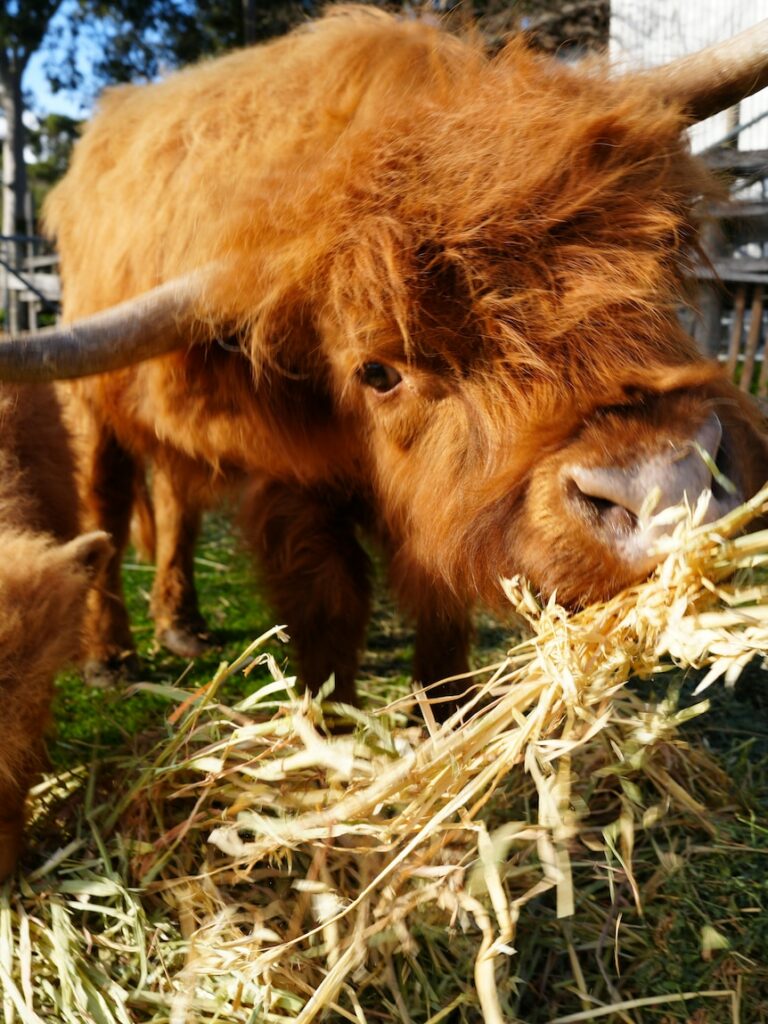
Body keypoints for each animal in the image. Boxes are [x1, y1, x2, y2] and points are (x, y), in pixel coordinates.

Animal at [6, 8, 768, 708]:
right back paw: (111, 654)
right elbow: (330, 608)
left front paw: (446, 714)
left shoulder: (438, 508)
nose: (667, 485)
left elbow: (441, 610)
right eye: (377, 372)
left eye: (660, 269)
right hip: (89, 404)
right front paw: (332, 723)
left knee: (174, 499)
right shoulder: (293, 487)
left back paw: (182, 623)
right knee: (105, 511)